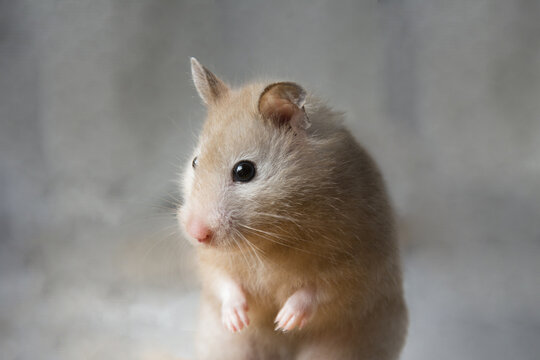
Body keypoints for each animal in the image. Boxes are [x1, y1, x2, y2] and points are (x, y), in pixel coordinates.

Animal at [179, 57, 408, 358]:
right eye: (195, 162)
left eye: (244, 171)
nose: (196, 234)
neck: (271, 238)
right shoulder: (210, 262)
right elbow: (223, 281)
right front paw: (239, 320)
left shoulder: (356, 264)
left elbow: (319, 291)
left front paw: (284, 321)